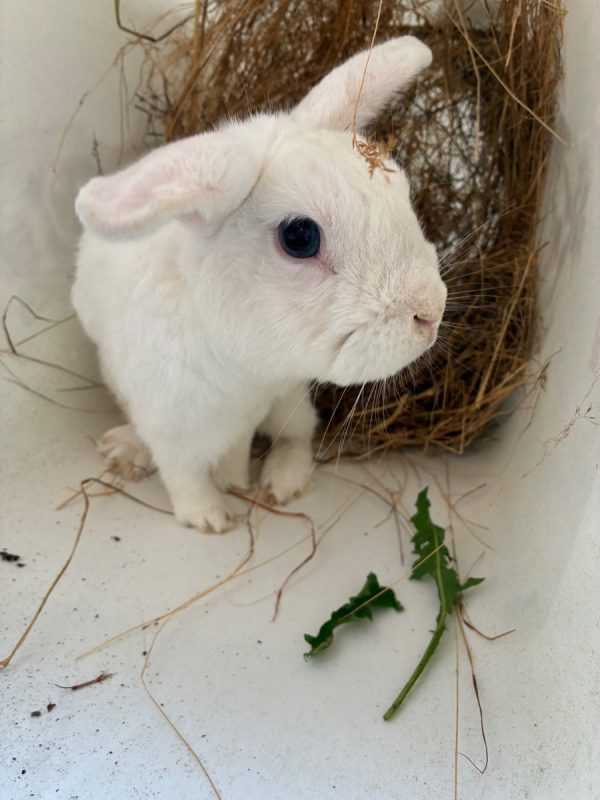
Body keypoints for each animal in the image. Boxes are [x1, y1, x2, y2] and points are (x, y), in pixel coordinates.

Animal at [72, 36, 447, 533]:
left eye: (401, 190)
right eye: (300, 237)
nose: (432, 312)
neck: (240, 366)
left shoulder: (251, 413)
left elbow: (233, 454)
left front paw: (235, 485)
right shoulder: (170, 426)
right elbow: (183, 477)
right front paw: (211, 519)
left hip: (291, 403)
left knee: (299, 436)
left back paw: (279, 483)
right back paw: (125, 448)